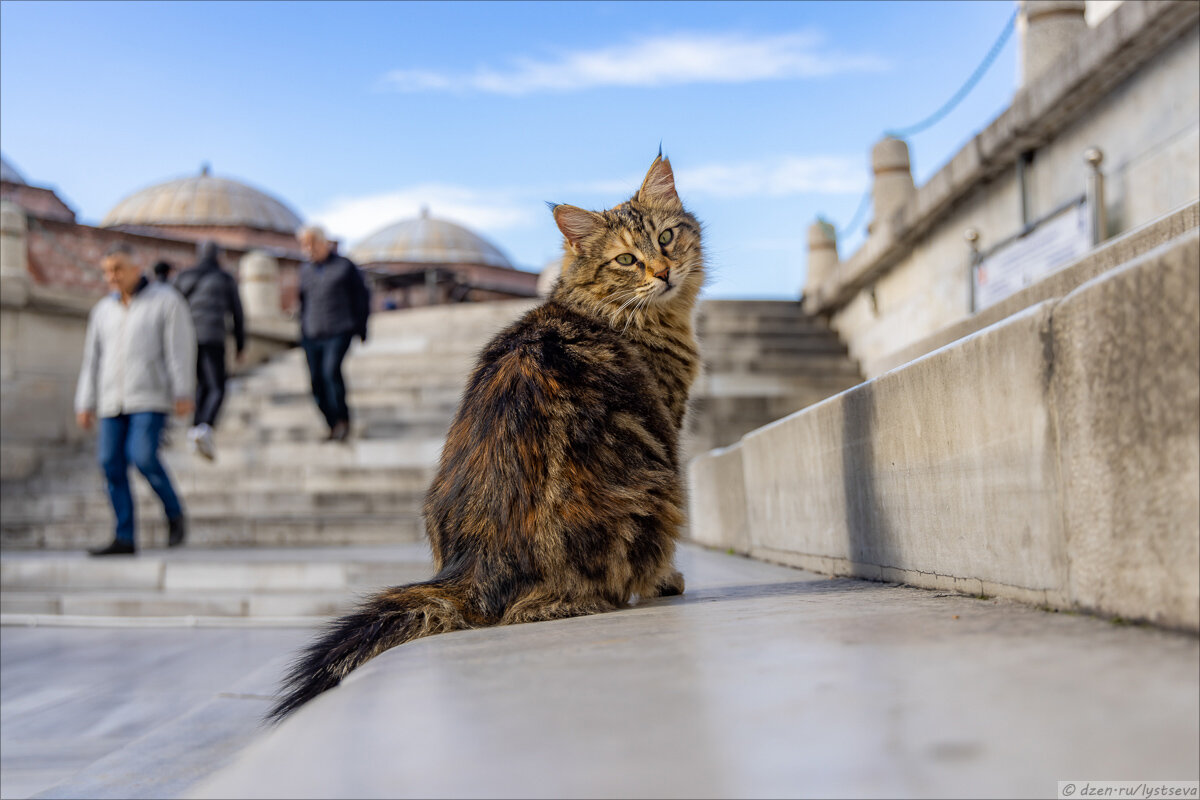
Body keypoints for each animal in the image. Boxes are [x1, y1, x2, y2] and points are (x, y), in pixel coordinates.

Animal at [270, 154, 700, 719]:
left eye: (667, 237)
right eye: (627, 260)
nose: (663, 271)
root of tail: (475, 568)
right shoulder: (669, 419)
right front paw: (668, 581)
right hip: (660, 487)